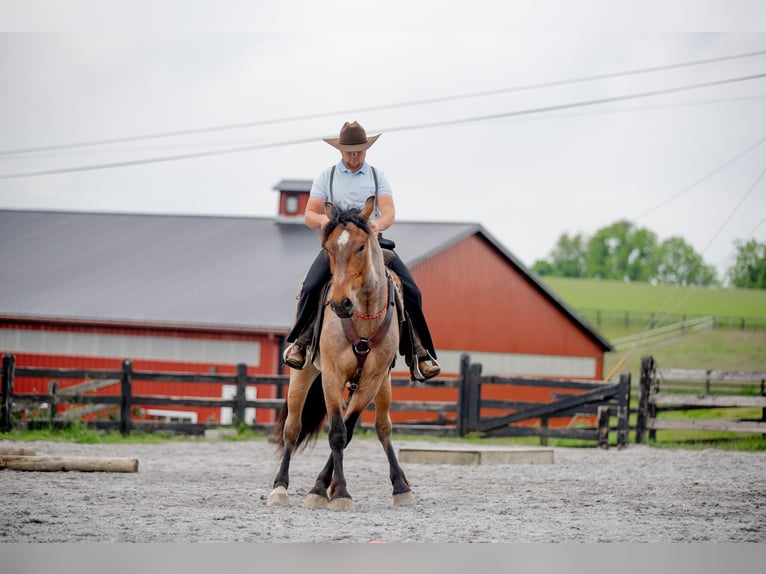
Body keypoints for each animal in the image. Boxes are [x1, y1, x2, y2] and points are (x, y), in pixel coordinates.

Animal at [268, 196, 416, 510]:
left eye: (361, 246)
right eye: (328, 248)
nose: (340, 303)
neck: (363, 316)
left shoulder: (372, 380)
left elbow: (347, 431)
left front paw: (327, 487)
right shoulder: (332, 377)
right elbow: (336, 432)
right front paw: (336, 493)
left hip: (383, 385)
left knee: (383, 427)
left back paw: (400, 485)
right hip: (302, 375)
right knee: (292, 428)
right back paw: (280, 488)